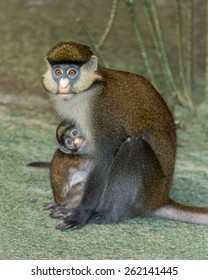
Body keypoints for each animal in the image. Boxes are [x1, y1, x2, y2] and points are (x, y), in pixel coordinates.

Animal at [42, 42, 208, 230]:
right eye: (57, 72)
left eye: (71, 72)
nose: (63, 85)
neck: (91, 91)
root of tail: (161, 199)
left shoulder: (102, 113)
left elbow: (104, 158)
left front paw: (81, 214)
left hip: (149, 190)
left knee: (133, 146)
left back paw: (106, 215)